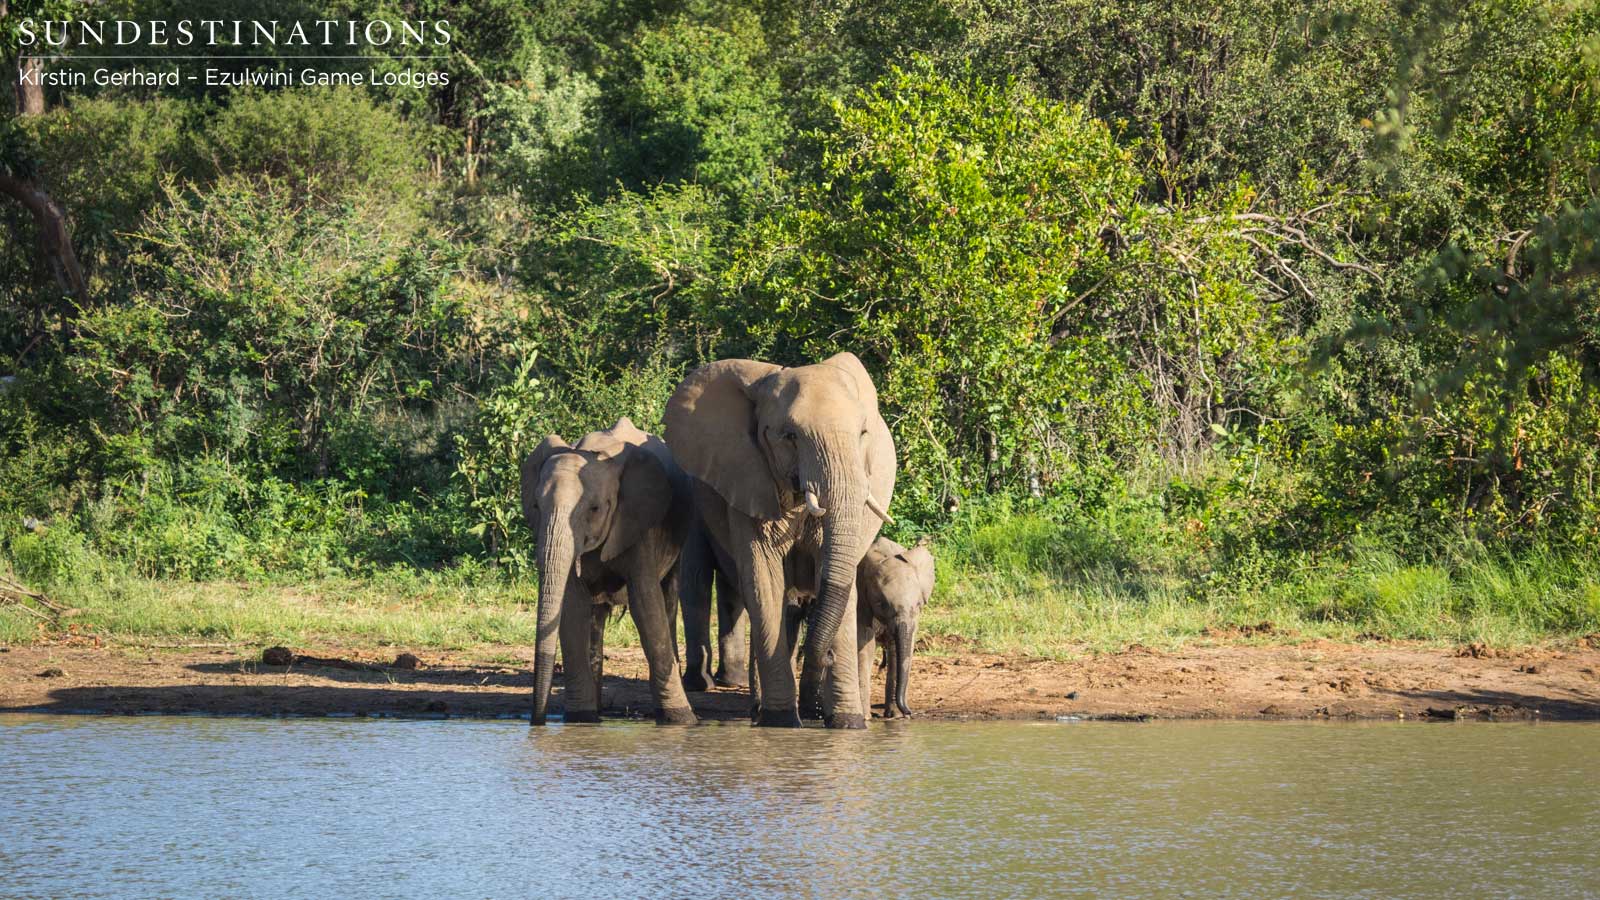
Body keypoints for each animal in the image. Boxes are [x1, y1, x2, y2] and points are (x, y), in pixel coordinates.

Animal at [520, 417, 697, 725]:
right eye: (535, 507)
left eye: (594, 509)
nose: (536, 722)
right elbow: (572, 606)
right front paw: (581, 718)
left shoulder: (638, 522)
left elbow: (645, 604)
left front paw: (681, 720)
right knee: (596, 615)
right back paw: (597, 712)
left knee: (668, 600)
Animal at [664, 352, 895, 729]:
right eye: (789, 436)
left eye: (863, 434)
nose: (825, 659)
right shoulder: (748, 478)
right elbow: (764, 578)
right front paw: (781, 721)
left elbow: (835, 576)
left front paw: (847, 723)